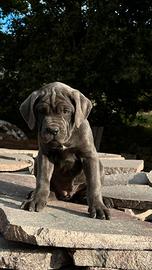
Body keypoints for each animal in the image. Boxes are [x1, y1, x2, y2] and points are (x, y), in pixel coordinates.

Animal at [19, 81, 110, 219]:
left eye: (66, 111)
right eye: (41, 111)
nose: (52, 130)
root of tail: (67, 195)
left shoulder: (89, 155)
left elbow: (94, 184)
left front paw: (99, 207)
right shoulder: (45, 154)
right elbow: (42, 180)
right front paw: (36, 200)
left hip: (101, 167)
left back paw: (96, 200)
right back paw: (42, 195)